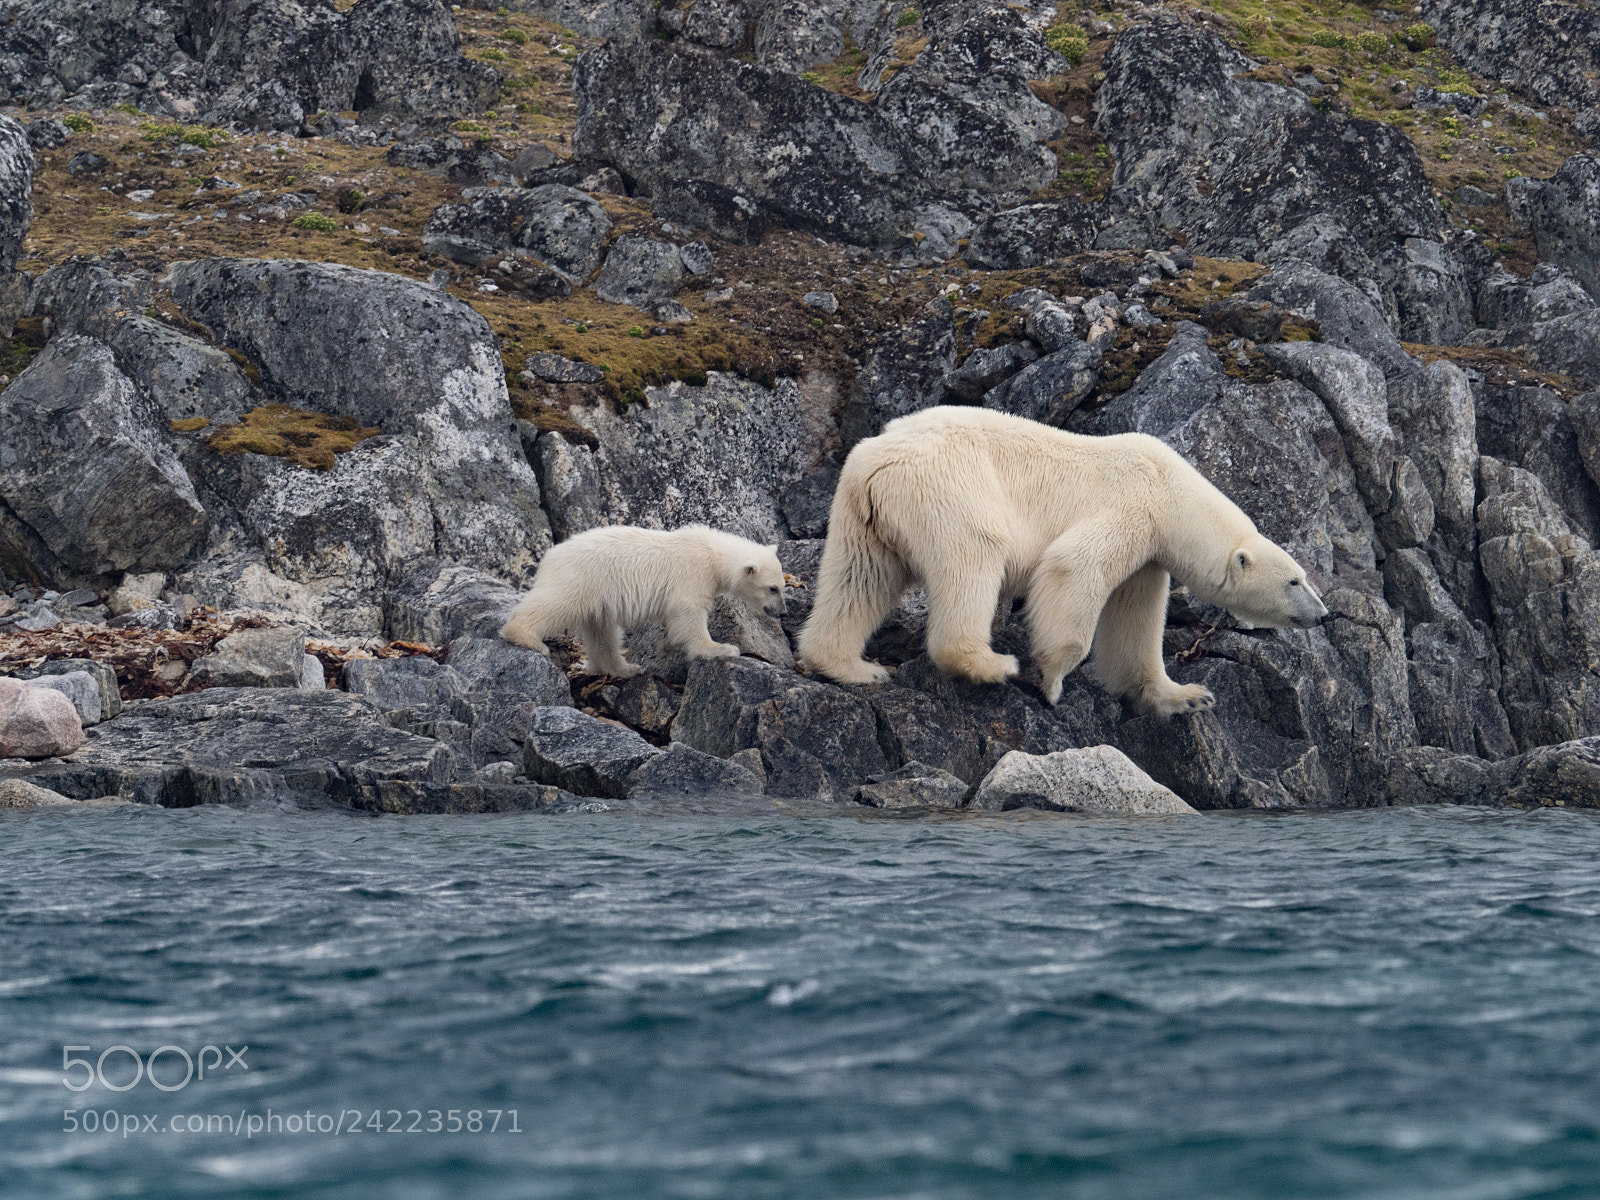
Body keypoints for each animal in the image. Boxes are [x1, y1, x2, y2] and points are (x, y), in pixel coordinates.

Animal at [501, 524, 786, 678]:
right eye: (772, 588)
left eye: (783, 585)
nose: (782, 612)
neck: (713, 553)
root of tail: (550, 555)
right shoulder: (694, 572)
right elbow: (688, 610)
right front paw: (721, 648)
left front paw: (666, 645)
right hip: (583, 578)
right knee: (558, 603)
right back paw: (526, 637)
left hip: (598, 597)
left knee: (603, 632)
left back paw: (626, 668)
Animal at [797, 405, 1328, 715]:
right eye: (1295, 581)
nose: (1323, 614)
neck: (1170, 491)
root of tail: (876, 461)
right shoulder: (1131, 506)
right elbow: (1073, 568)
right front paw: (1052, 683)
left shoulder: (1147, 559)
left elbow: (1136, 622)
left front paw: (1188, 697)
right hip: (949, 485)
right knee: (974, 553)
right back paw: (990, 664)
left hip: (863, 513)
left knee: (859, 579)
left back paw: (852, 666)